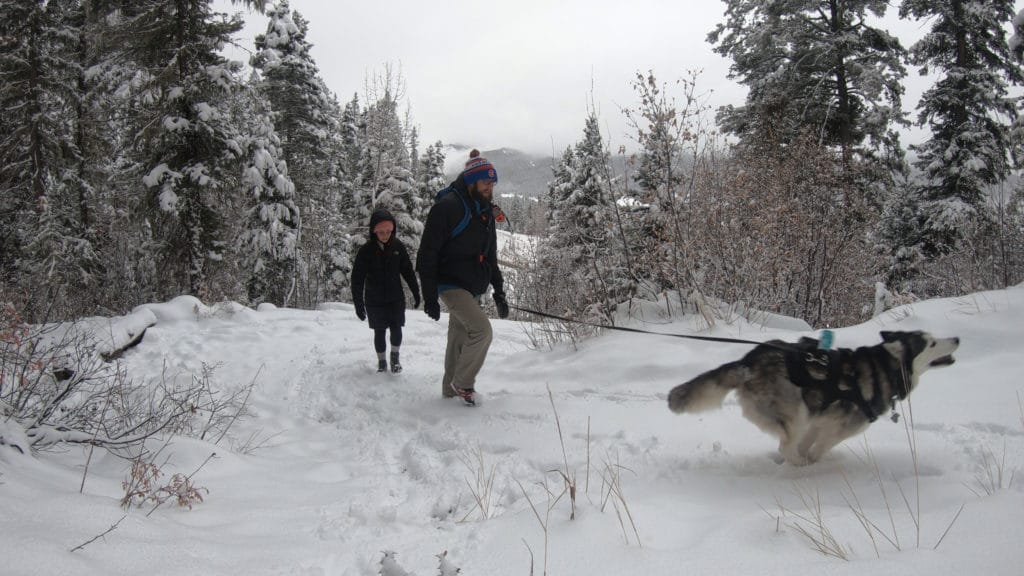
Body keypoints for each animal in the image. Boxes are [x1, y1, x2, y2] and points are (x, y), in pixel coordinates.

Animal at [667, 330, 954, 463]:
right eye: (931, 343)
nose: (957, 339)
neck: (884, 368)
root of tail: (748, 361)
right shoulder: (840, 429)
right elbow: (819, 449)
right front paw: (813, 464)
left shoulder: (821, 421)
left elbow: (808, 443)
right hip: (795, 413)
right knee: (786, 445)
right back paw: (798, 467)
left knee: (789, 444)